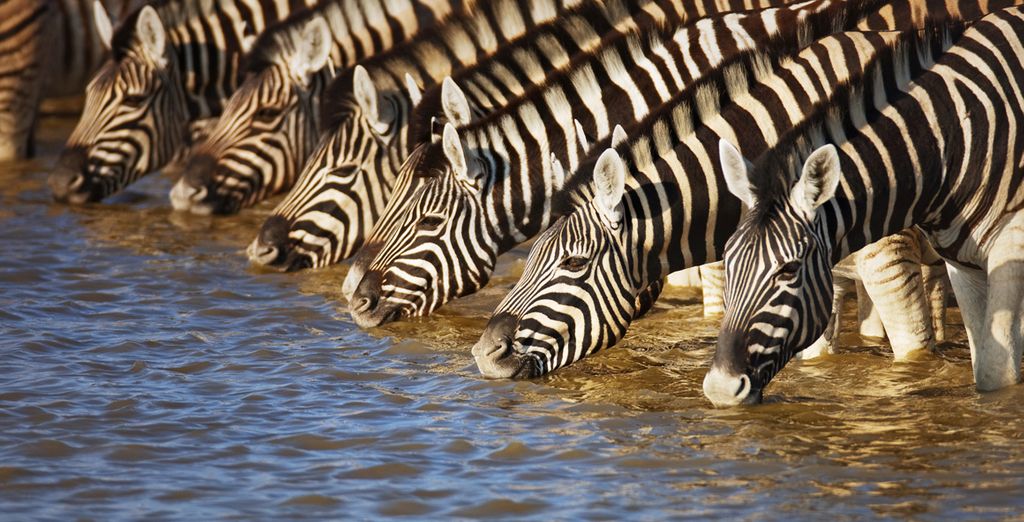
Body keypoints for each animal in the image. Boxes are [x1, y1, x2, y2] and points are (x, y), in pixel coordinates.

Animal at [704, 6, 1024, 406]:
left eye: (789, 270)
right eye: (728, 260)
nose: (720, 388)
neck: (952, 136)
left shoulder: (1009, 246)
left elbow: (997, 373)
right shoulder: (963, 264)